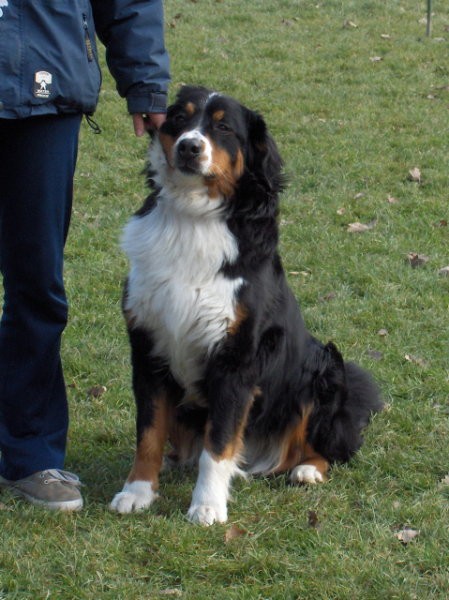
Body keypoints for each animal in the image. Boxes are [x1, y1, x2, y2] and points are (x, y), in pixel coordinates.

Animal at [109, 85, 382, 524]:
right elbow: (148, 433)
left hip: (324, 369)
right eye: (179, 118)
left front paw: (207, 505)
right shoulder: (148, 347)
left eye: (223, 128)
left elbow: (218, 443)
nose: (189, 147)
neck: (192, 219)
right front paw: (137, 490)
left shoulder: (235, 359)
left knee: (332, 447)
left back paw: (307, 468)